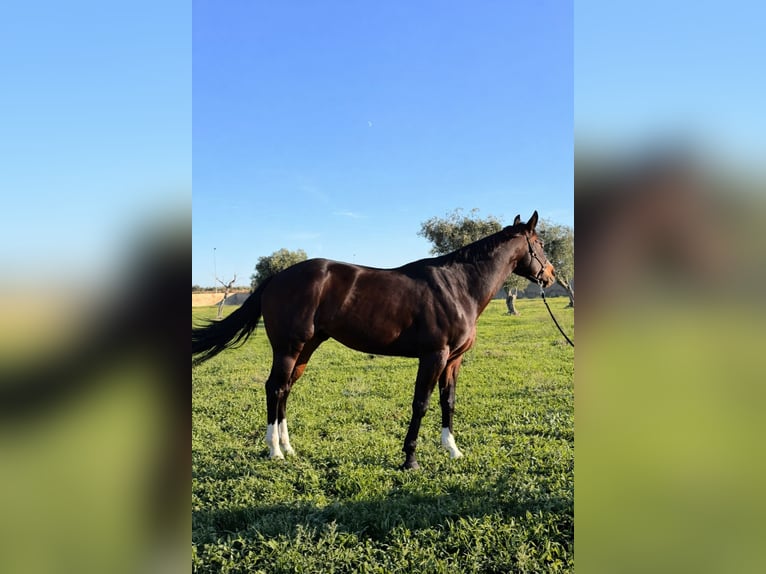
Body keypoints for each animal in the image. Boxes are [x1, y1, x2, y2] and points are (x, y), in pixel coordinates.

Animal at [192, 211, 556, 469]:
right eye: (539, 245)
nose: (551, 275)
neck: (458, 285)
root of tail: (277, 278)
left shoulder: (454, 359)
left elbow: (448, 402)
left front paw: (453, 449)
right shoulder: (434, 356)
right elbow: (421, 404)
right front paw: (410, 459)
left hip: (305, 349)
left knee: (285, 390)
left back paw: (288, 448)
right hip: (288, 348)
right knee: (274, 388)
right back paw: (275, 451)